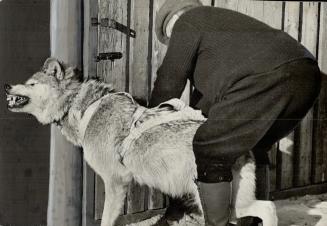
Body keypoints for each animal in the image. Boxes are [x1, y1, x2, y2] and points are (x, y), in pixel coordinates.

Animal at [3, 58, 278, 226]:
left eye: (31, 84)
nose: (6, 85)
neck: (83, 108)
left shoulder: (116, 182)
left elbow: (106, 219)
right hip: (228, 203)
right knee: (267, 207)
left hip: (212, 200)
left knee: (265, 209)